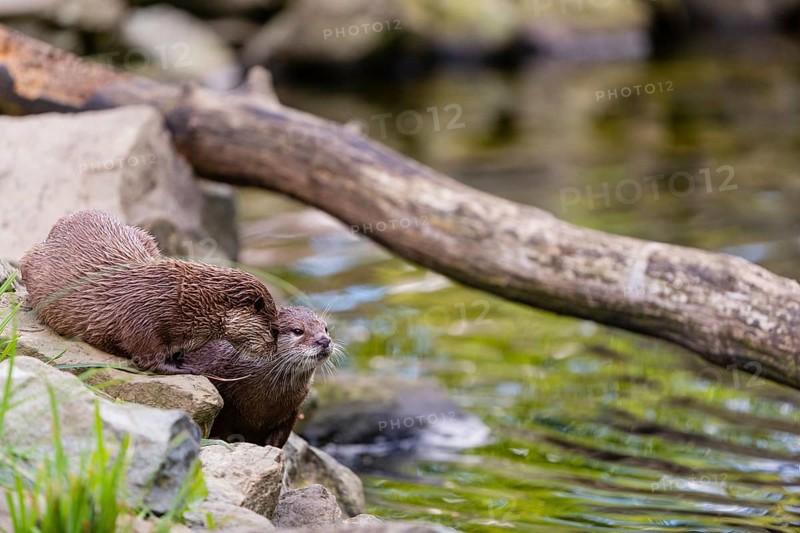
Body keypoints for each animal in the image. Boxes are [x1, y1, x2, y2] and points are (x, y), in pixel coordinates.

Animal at [20, 209, 278, 374]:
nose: (274, 353)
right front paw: (188, 368)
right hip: (33, 258)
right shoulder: (142, 318)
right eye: (275, 331)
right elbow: (148, 359)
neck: (187, 301)